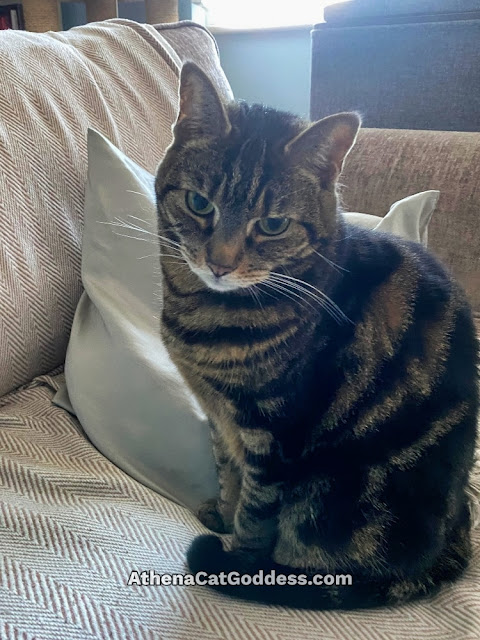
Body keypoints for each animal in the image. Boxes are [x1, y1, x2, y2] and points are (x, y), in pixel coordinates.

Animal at [156, 63, 478, 608]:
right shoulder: (222, 420)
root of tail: (453, 537)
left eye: (272, 225)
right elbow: (228, 473)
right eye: (199, 203)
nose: (219, 263)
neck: (203, 315)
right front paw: (221, 510)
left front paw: (238, 559)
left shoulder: (273, 433)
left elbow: (255, 511)